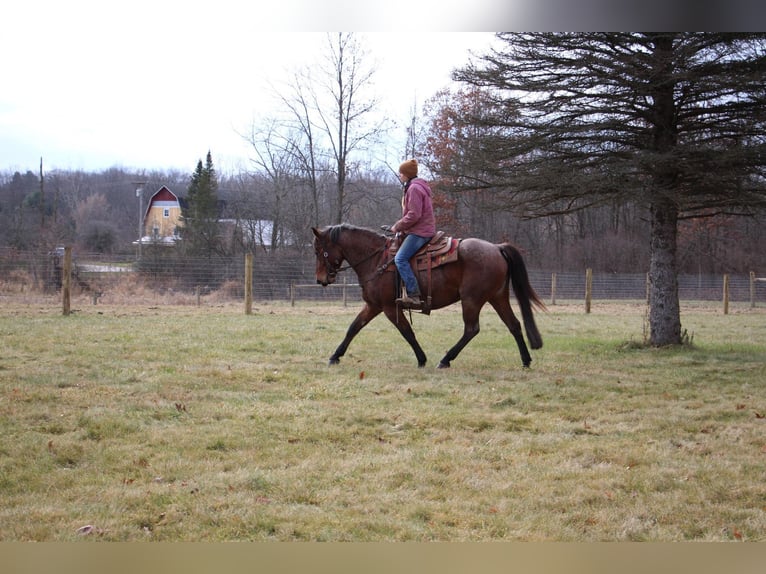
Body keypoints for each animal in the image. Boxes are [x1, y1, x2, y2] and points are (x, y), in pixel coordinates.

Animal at [310, 225, 544, 368]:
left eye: (318, 250)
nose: (320, 279)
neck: (376, 260)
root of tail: (496, 248)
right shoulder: (373, 305)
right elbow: (354, 328)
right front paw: (335, 356)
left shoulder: (389, 307)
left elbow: (407, 332)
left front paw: (422, 359)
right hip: (497, 297)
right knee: (513, 325)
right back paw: (526, 360)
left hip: (472, 299)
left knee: (471, 329)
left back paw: (446, 360)